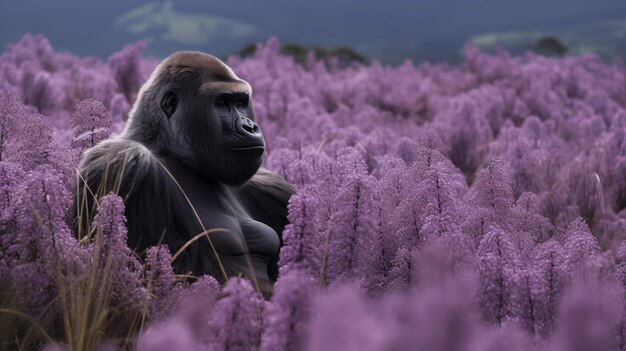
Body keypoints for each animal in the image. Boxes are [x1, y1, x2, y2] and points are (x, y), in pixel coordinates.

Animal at [75, 51, 292, 296]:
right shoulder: (125, 163)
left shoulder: (269, 186)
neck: (167, 148)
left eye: (240, 103)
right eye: (222, 103)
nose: (250, 126)